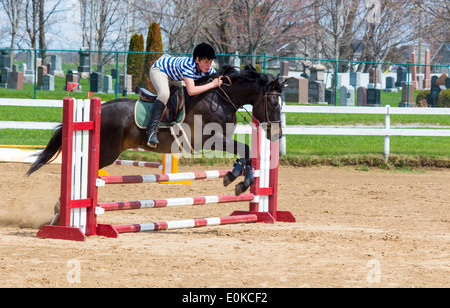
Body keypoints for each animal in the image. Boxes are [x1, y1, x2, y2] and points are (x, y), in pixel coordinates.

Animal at [28, 65, 286, 196]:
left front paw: (234, 176)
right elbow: (246, 149)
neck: (220, 98)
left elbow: (245, 153)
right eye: (273, 102)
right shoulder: (208, 139)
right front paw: (241, 183)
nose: (277, 135)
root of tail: (99, 108)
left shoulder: (222, 138)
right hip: (106, 153)